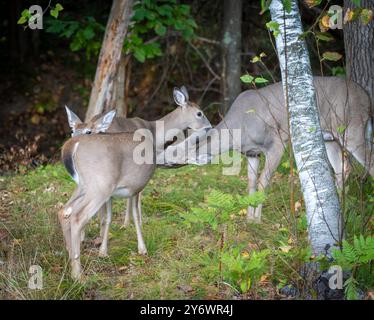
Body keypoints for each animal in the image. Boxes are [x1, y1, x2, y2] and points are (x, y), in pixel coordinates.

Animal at [58, 87, 210, 280]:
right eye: (200, 113)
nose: (209, 126)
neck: (155, 133)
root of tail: (74, 146)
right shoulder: (136, 185)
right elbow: (135, 212)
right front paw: (141, 247)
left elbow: (108, 217)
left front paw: (103, 250)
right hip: (100, 186)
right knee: (77, 216)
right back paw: (78, 275)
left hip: (86, 186)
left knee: (65, 211)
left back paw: (71, 255)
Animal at [162, 77, 372, 222]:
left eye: (171, 151)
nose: (159, 163)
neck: (239, 128)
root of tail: (367, 97)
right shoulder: (252, 153)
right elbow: (251, 183)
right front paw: (248, 219)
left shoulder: (277, 143)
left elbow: (264, 181)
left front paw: (257, 220)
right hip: (330, 137)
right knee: (343, 167)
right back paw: (335, 212)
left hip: (352, 129)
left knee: (368, 164)